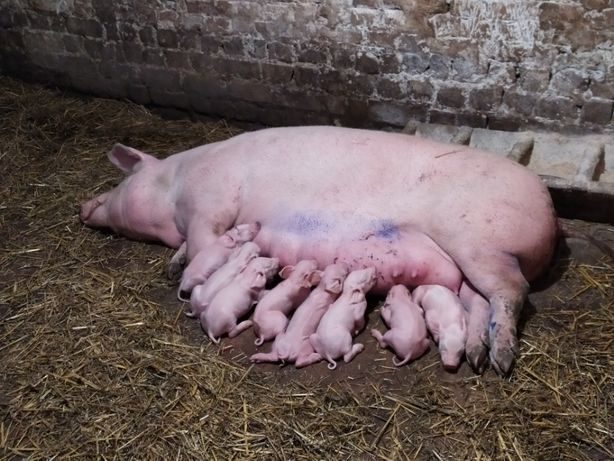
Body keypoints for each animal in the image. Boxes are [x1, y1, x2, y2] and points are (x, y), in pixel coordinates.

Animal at [79, 125, 560, 374]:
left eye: (123, 180)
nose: (84, 206)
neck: (173, 187)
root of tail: (548, 205)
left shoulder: (209, 203)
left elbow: (204, 244)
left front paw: (182, 281)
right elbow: (191, 252)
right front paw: (174, 265)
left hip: (482, 244)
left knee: (512, 292)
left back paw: (501, 361)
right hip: (466, 262)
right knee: (476, 301)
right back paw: (478, 357)